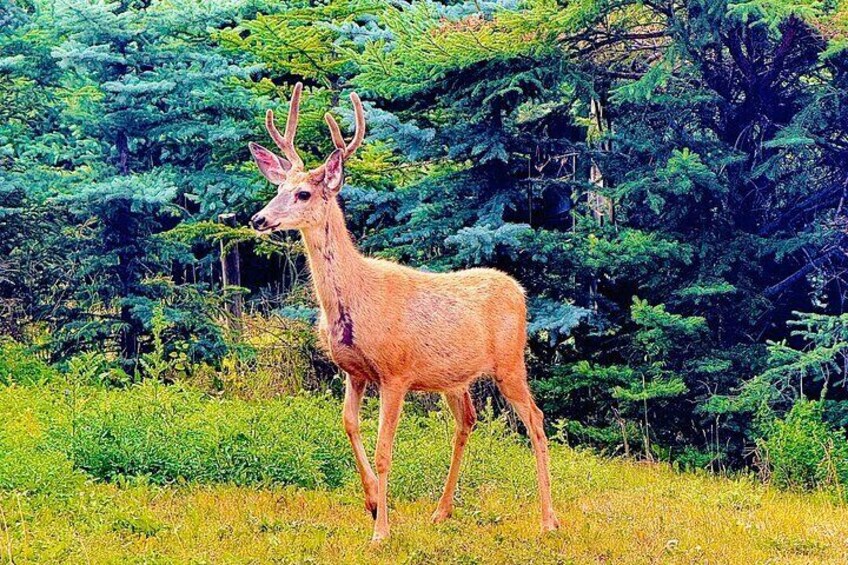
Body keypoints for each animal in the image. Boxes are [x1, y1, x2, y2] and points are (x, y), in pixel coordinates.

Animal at [248, 83, 559, 542]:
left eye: (303, 193)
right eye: (276, 189)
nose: (259, 218)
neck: (355, 299)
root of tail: (519, 290)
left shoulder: (395, 372)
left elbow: (384, 449)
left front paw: (381, 531)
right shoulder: (354, 371)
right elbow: (348, 425)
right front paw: (372, 502)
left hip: (509, 362)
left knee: (536, 420)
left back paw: (548, 519)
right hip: (454, 378)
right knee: (467, 421)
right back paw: (441, 511)